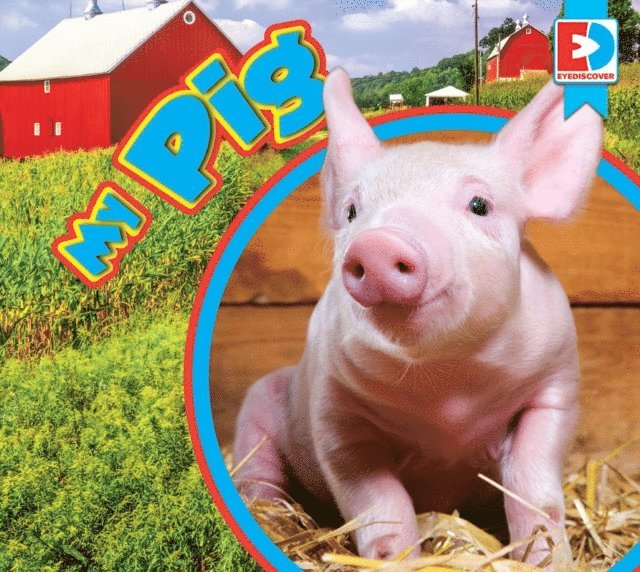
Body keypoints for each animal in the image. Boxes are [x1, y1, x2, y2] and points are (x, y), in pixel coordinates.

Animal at [232, 68, 603, 564]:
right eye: (352, 211)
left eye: (480, 205)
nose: (378, 243)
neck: (446, 392)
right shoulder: (335, 414)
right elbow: (379, 504)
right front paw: (398, 559)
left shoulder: (554, 387)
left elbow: (535, 488)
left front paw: (549, 559)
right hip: (256, 409)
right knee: (259, 478)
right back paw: (270, 518)